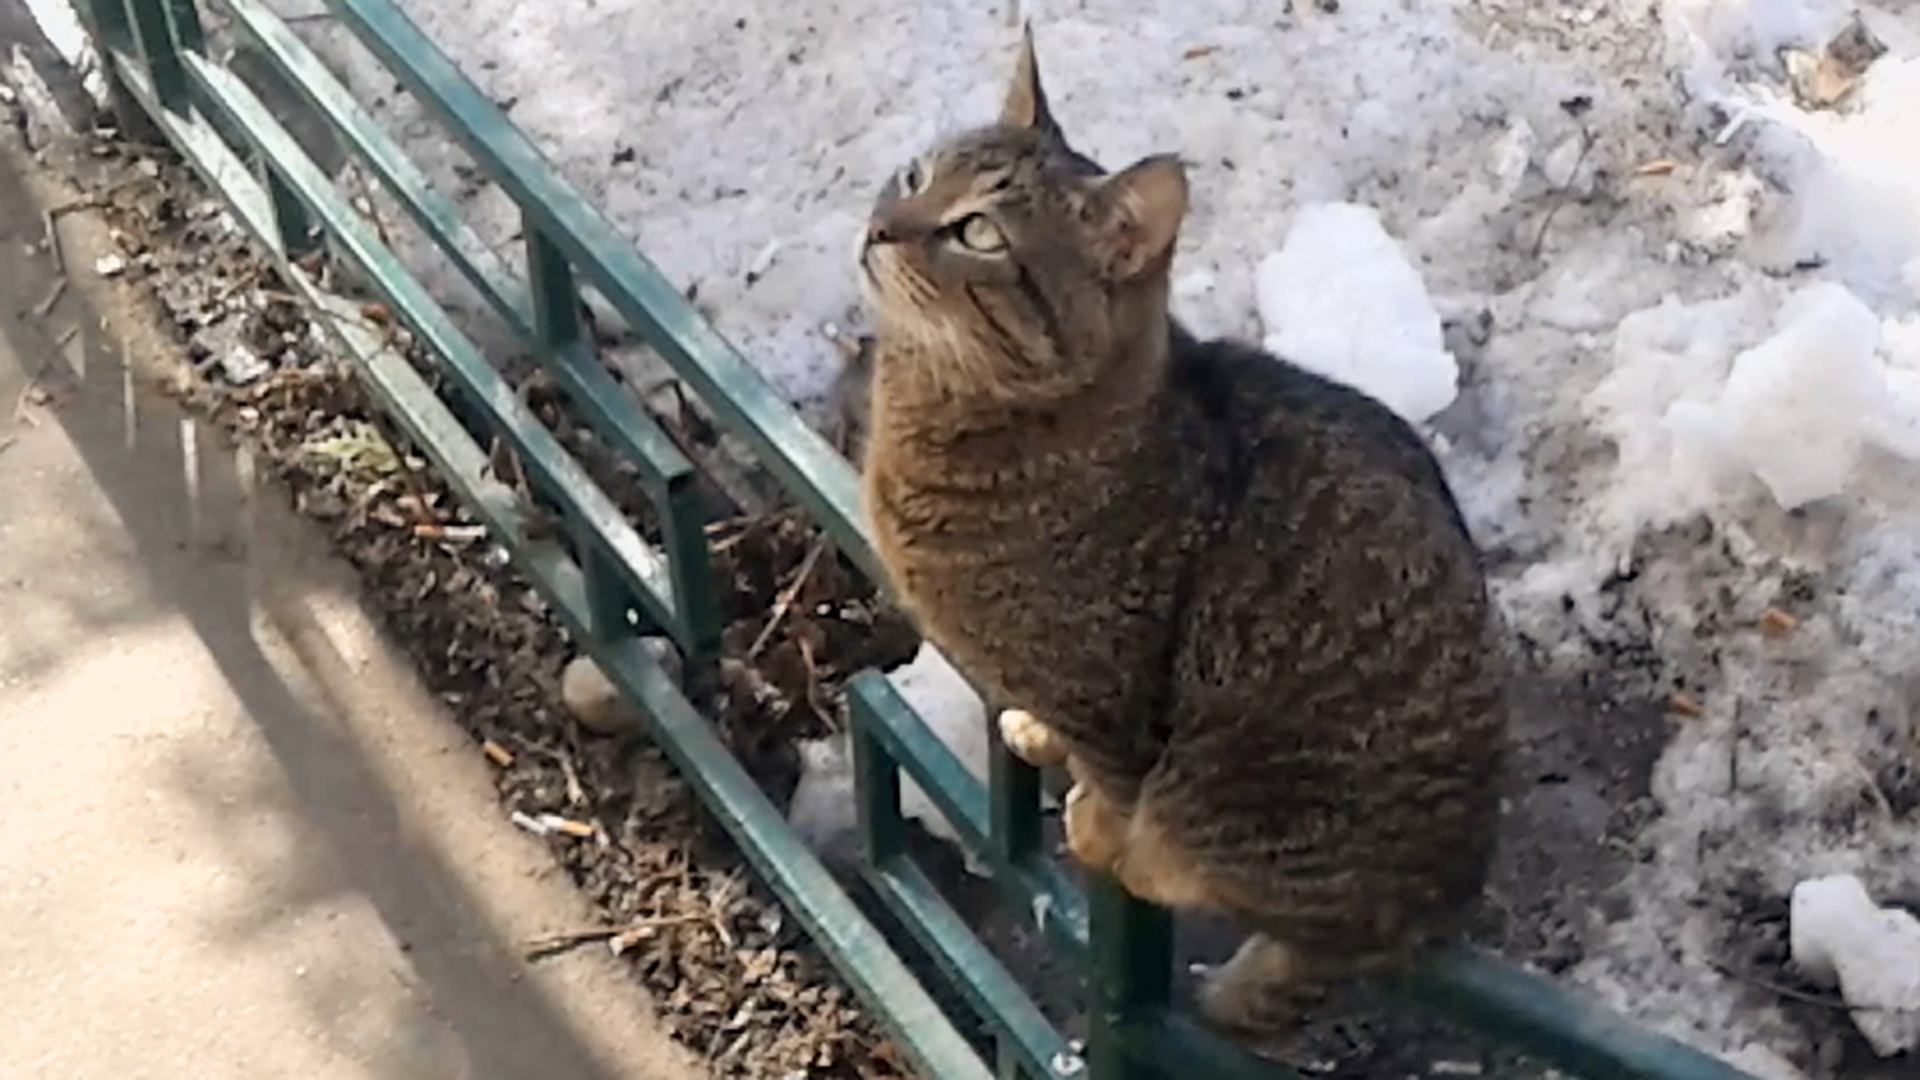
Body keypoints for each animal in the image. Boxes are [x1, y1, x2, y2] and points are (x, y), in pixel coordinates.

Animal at [854, 27, 1508, 1034]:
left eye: (978, 233)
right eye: (916, 174)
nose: (882, 226)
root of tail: (1432, 911)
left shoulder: (1115, 698)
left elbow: (1112, 782)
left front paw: (1092, 822)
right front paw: (1036, 734)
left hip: (1247, 802)